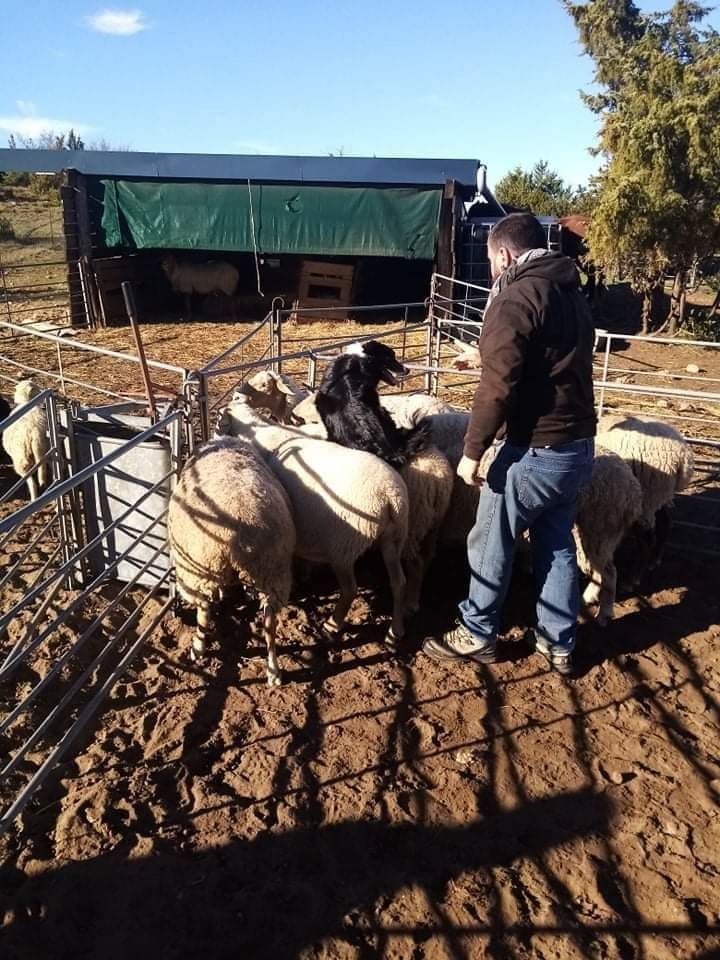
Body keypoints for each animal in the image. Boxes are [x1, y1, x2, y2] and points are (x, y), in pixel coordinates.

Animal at [167, 438, 296, 688]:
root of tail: (236, 538)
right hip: (273, 574)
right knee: (269, 626)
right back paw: (273, 671)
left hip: (201, 573)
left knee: (203, 612)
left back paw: (198, 649)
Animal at [215, 394, 410, 640]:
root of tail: (391, 496)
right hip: (394, 537)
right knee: (399, 583)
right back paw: (396, 631)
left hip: (344, 546)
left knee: (350, 589)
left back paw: (333, 624)